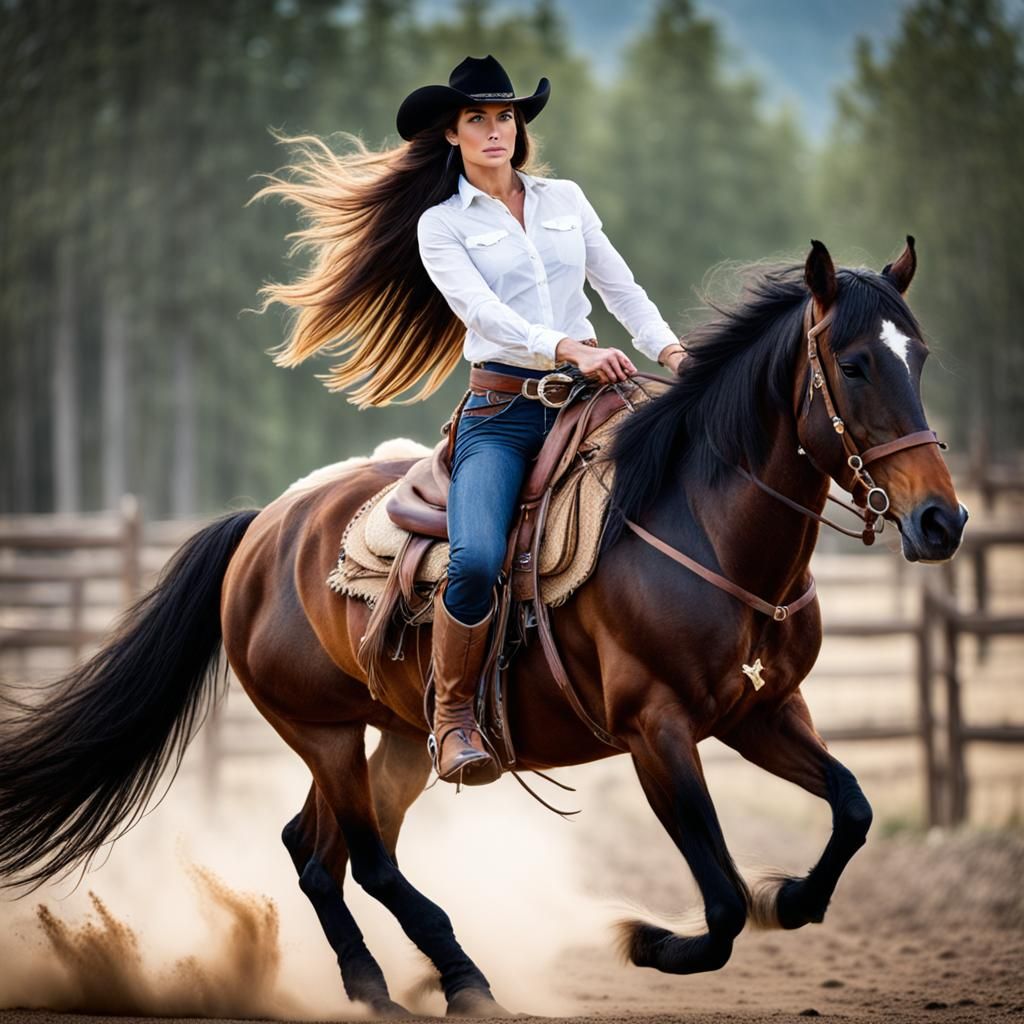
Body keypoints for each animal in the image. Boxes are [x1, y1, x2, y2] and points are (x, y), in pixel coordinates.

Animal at [0, 239, 966, 1016]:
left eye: (920, 355)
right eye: (853, 364)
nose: (941, 523)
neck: (699, 525)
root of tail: (262, 528)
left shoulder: (762, 711)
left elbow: (853, 808)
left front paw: (792, 898)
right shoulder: (657, 730)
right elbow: (723, 902)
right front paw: (648, 940)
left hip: (394, 736)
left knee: (317, 851)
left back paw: (378, 987)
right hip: (319, 730)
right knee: (367, 861)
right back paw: (462, 980)